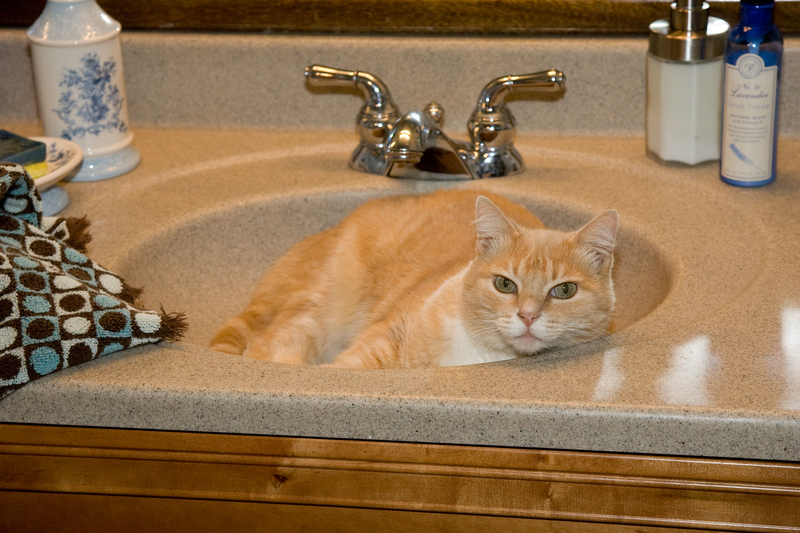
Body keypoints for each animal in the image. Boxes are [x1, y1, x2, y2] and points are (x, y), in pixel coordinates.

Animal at [209, 189, 616, 368]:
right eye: (505, 284)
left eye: (564, 290)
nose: (528, 316)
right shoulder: (378, 345)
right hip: (319, 312)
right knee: (267, 343)